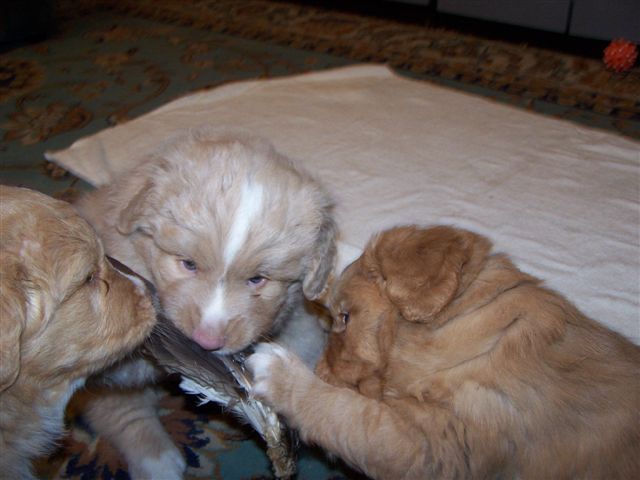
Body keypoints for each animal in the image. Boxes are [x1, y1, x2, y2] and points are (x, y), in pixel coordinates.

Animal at [74, 130, 336, 478]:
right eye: (188, 264)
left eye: (258, 279)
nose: (206, 342)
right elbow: (115, 401)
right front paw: (156, 458)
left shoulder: (297, 318)